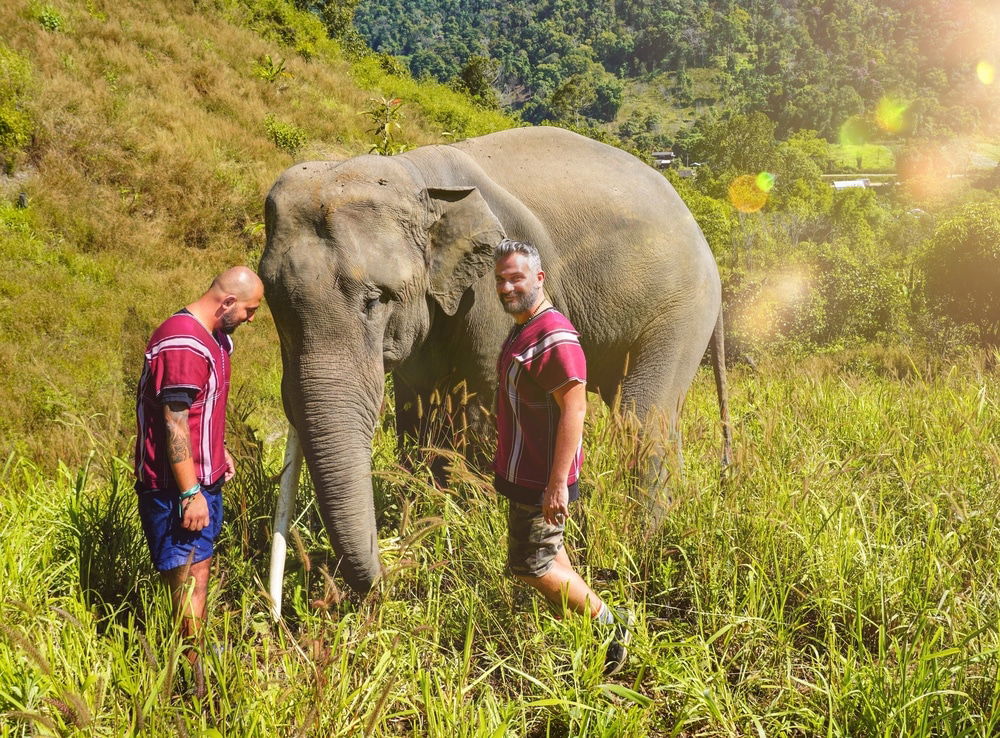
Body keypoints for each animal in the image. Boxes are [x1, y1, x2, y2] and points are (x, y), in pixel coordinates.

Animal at [258, 126, 732, 600]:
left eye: (375, 300)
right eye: (273, 301)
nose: (390, 568)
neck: (417, 174)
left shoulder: (490, 289)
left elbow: (485, 406)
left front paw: (467, 519)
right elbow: (419, 413)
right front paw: (428, 510)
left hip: (681, 310)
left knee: (642, 416)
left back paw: (642, 539)